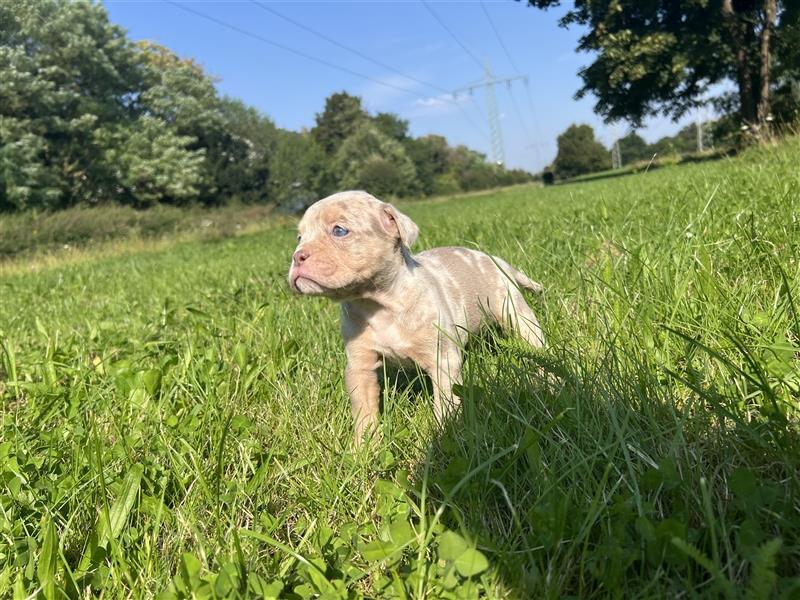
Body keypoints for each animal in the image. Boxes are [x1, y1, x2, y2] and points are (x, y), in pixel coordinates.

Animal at [290, 191, 548, 440]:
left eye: (339, 230)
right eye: (299, 238)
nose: (297, 256)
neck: (378, 304)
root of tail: (491, 259)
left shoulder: (443, 360)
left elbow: (445, 403)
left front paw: (444, 434)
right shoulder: (360, 366)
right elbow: (364, 410)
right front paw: (364, 446)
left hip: (513, 309)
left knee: (533, 340)